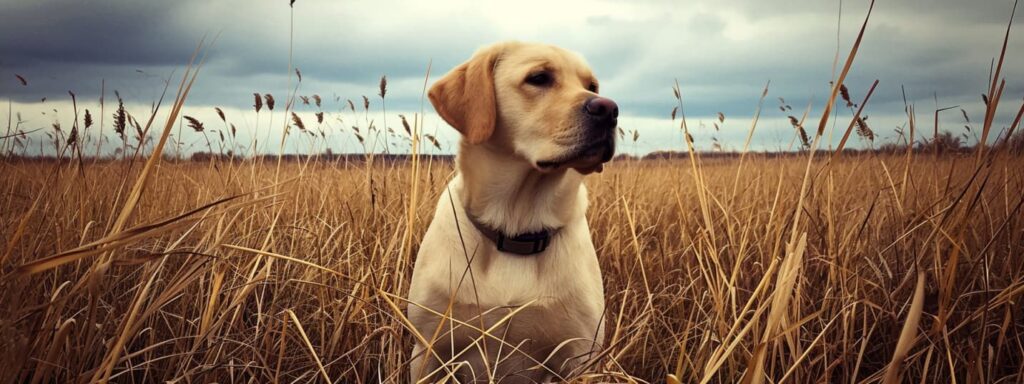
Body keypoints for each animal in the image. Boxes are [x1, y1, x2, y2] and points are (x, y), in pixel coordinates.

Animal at [405, 40, 614, 382]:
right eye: (539, 78)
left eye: (592, 86)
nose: (609, 109)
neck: (516, 233)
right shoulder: (429, 351)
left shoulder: (578, 356)